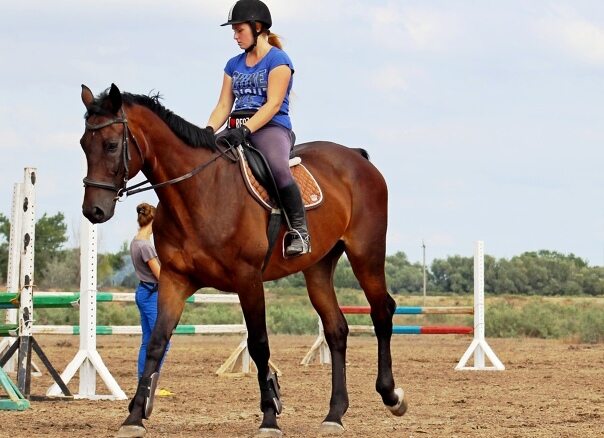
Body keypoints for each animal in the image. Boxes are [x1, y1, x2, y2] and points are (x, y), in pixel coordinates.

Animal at [79, 84, 406, 436]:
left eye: (112, 145)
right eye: (84, 144)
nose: (93, 211)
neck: (200, 192)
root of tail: (356, 157)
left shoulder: (248, 280)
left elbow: (259, 344)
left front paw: (270, 417)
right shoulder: (174, 280)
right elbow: (156, 342)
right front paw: (134, 418)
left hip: (366, 254)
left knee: (381, 312)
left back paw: (391, 395)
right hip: (318, 267)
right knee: (336, 329)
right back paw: (334, 414)